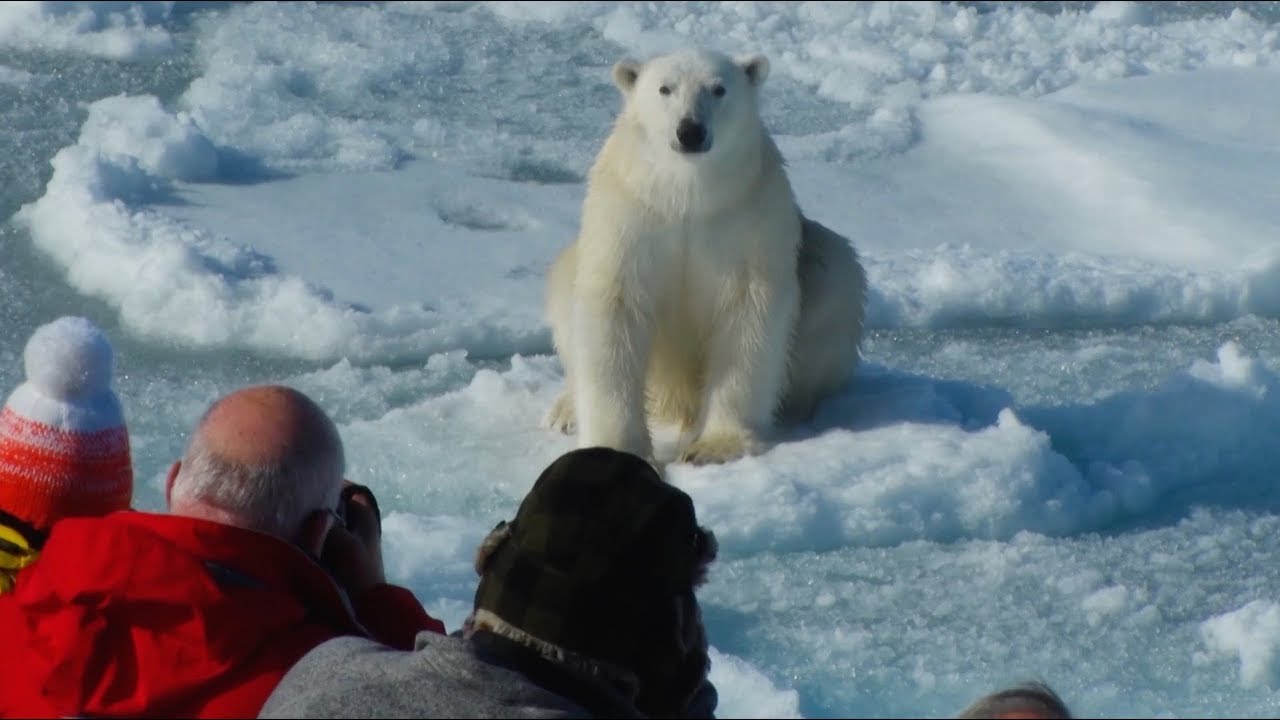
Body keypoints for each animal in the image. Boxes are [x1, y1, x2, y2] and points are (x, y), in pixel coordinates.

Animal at [542, 49, 870, 466]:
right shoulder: (632, 214)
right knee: (565, 282)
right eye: (665, 88)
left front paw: (713, 447)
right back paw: (566, 409)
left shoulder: (749, 216)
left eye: (718, 89)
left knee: (837, 279)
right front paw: (618, 448)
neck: (688, 194)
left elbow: (748, 317)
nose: (690, 131)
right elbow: (614, 305)